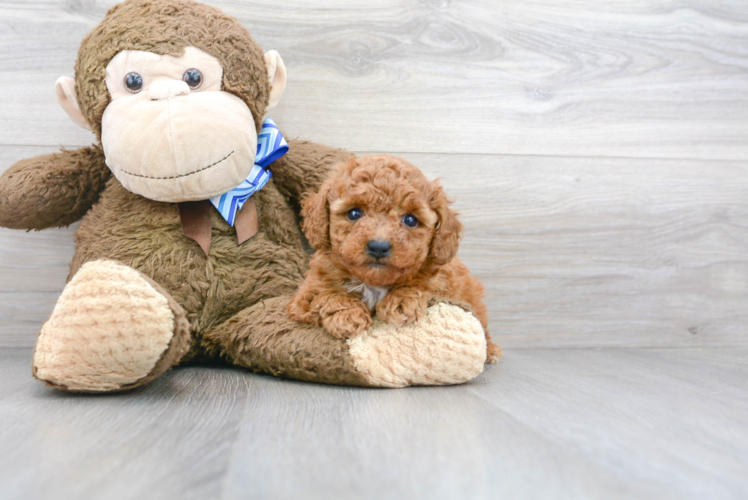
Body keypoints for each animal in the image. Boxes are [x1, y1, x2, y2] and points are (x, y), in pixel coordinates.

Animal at [286, 154, 502, 362]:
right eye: (354, 213)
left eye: (410, 219)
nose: (378, 247)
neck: (374, 283)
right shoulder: (306, 294)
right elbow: (326, 294)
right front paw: (347, 315)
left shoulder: (446, 283)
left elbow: (426, 284)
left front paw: (400, 301)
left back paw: (491, 350)